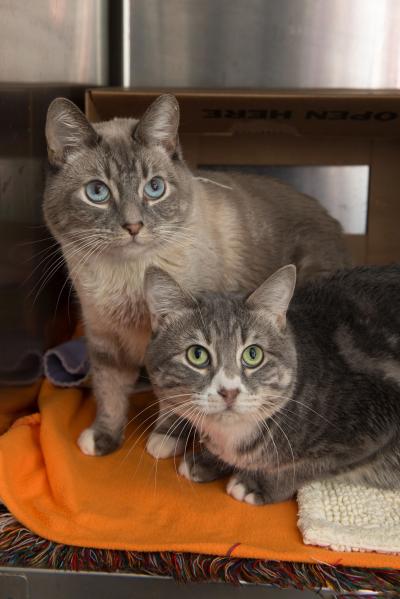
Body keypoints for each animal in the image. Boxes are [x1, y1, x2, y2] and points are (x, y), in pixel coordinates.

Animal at [43, 95, 348, 460]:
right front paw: (103, 438)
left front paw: (165, 439)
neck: (128, 276)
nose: (133, 226)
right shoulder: (105, 340)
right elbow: (109, 392)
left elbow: (174, 397)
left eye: (155, 188)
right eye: (97, 192)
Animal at [145, 264, 400, 504]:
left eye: (253, 354)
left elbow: (311, 465)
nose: (229, 391)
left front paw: (257, 482)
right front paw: (208, 459)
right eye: (197, 355)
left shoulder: (375, 426)